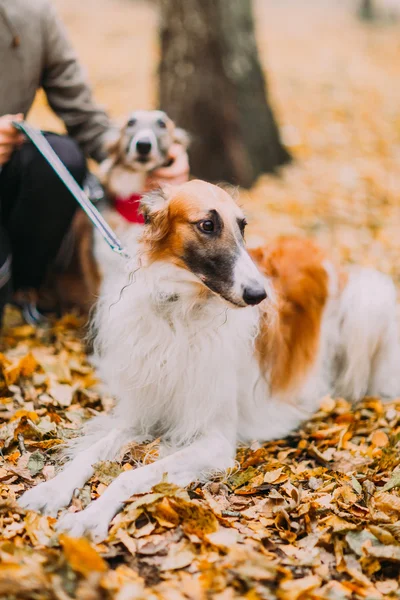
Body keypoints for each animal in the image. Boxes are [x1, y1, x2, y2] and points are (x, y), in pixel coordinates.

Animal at [18, 178, 400, 540]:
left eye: (243, 227)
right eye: (207, 225)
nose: (259, 295)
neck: (180, 313)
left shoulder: (213, 439)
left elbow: (131, 477)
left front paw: (91, 516)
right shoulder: (145, 412)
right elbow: (91, 451)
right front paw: (52, 490)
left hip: (368, 302)